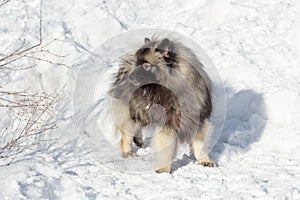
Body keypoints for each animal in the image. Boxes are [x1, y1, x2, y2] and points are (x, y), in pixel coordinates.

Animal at [109, 36, 214, 173]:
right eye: (137, 63)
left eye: (146, 65)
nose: (131, 77)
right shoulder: (167, 125)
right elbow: (166, 149)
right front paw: (164, 170)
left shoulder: (198, 121)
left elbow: (200, 145)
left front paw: (205, 161)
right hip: (131, 112)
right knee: (126, 134)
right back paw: (128, 152)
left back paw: (139, 141)